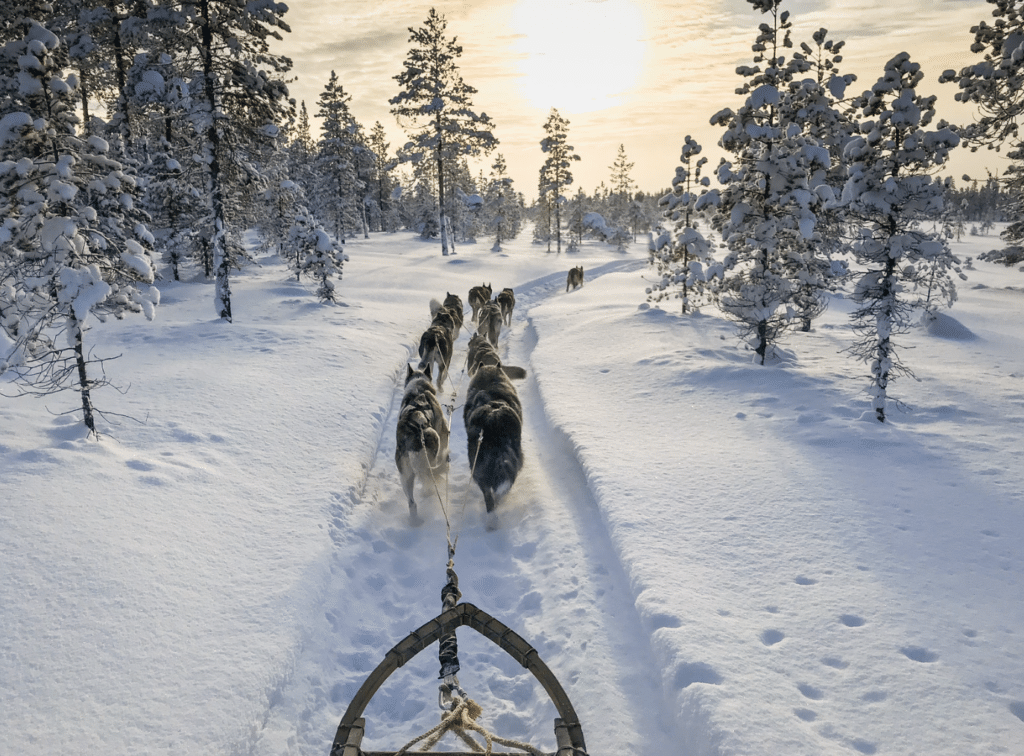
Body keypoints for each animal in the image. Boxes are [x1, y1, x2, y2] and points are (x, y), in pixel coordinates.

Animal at [393, 364, 450, 518]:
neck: (419, 389)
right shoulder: (443, 433)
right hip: (434, 439)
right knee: (429, 480)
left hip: (405, 476)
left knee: (412, 503)